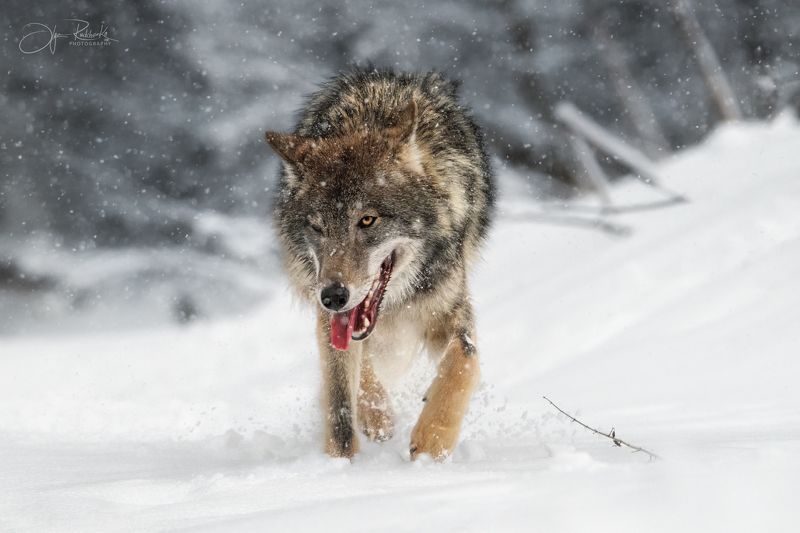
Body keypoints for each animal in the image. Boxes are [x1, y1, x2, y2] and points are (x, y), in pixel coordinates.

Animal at [265, 68, 495, 460]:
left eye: (368, 220)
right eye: (317, 226)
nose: (333, 296)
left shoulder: (448, 306)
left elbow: (464, 361)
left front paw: (432, 444)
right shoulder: (329, 318)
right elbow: (341, 405)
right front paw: (345, 457)